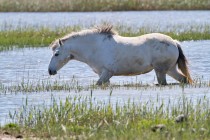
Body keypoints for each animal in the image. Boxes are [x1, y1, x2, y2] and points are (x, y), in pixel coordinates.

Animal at [48, 25, 192, 85]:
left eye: (56, 54)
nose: (50, 71)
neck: (95, 47)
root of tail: (174, 42)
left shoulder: (106, 72)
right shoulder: (103, 74)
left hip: (161, 70)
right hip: (170, 69)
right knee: (183, 79)